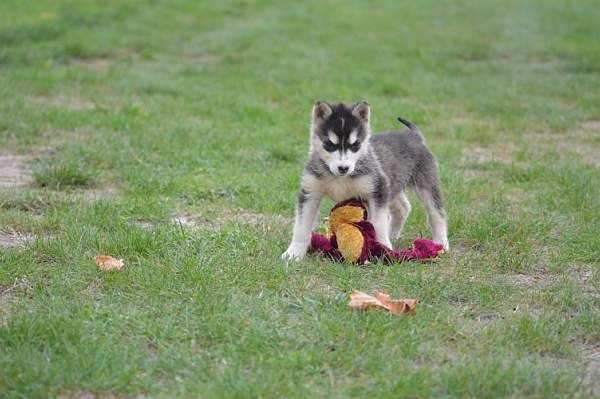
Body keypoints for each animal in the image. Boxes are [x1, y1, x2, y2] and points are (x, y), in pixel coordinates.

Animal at [284, 101, 448, 260]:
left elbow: (378, 224)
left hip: (425, 184)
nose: (343, 168)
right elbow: (301, 227)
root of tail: (414, 135)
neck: (339, 178)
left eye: (355, 145)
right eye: (330, 144)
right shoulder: (310, 193)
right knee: (404, 207)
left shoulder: (377, 191)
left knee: (437, 214)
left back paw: (441, 243)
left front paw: (383, 249)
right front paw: (294, 253)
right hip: (392, 184)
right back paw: (393, 234)